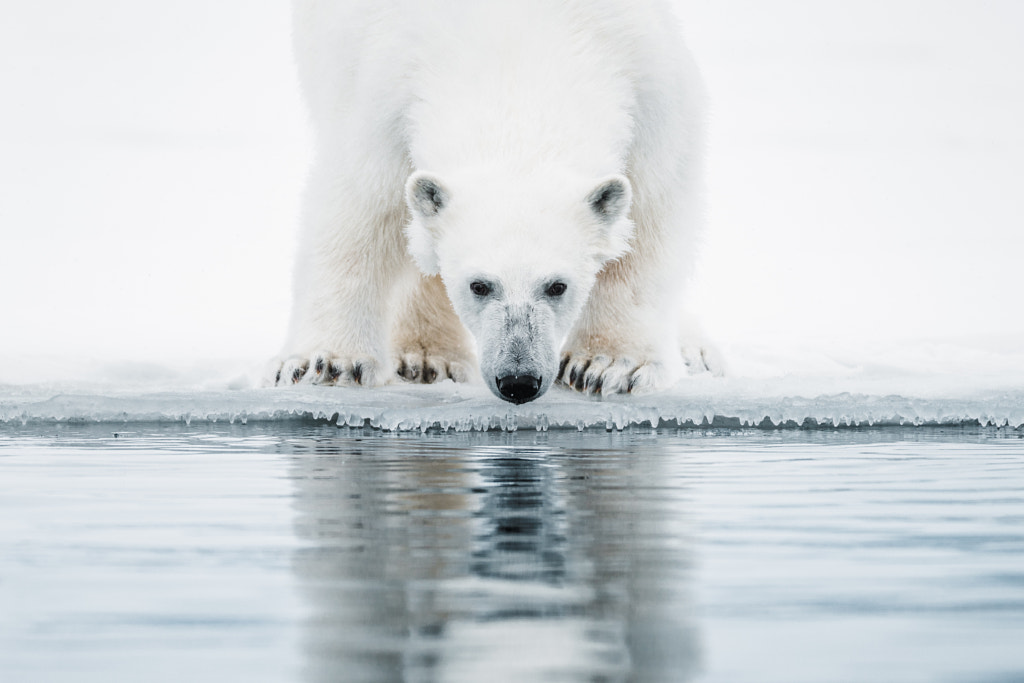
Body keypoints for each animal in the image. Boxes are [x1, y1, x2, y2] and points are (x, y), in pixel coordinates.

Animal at [272, 0, 720, 403]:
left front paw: (605, 366)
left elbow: (649, 218)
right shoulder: (383, 98)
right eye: (479, 285)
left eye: (557, 286)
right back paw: (428, 358)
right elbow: (357, 213)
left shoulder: (651, 90)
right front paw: (327, 363)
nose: (519, 380)